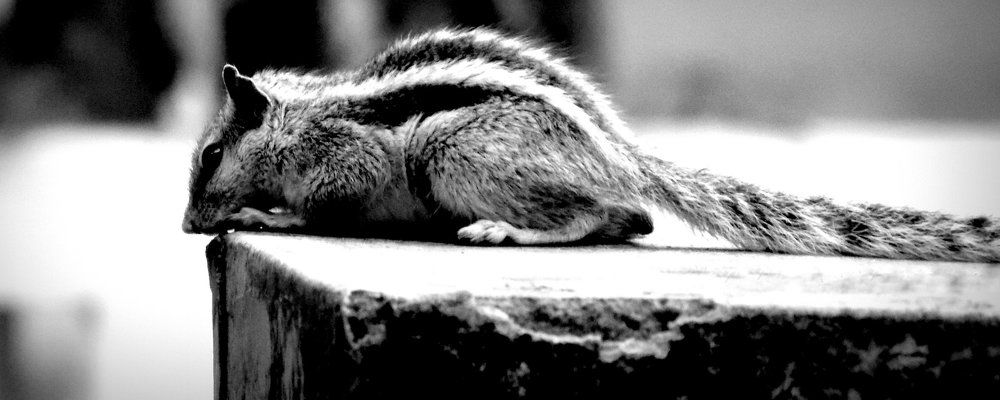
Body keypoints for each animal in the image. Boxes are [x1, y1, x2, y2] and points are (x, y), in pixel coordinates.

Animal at [182, 28, 999, 263]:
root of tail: (622, 156)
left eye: (212, 157)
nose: (188, 226)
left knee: (603, 216)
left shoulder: (347, 153)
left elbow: (328, 200)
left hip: (450, 148)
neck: (295, 119)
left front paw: (264, 215)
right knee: (629, 218)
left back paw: (503, 231)